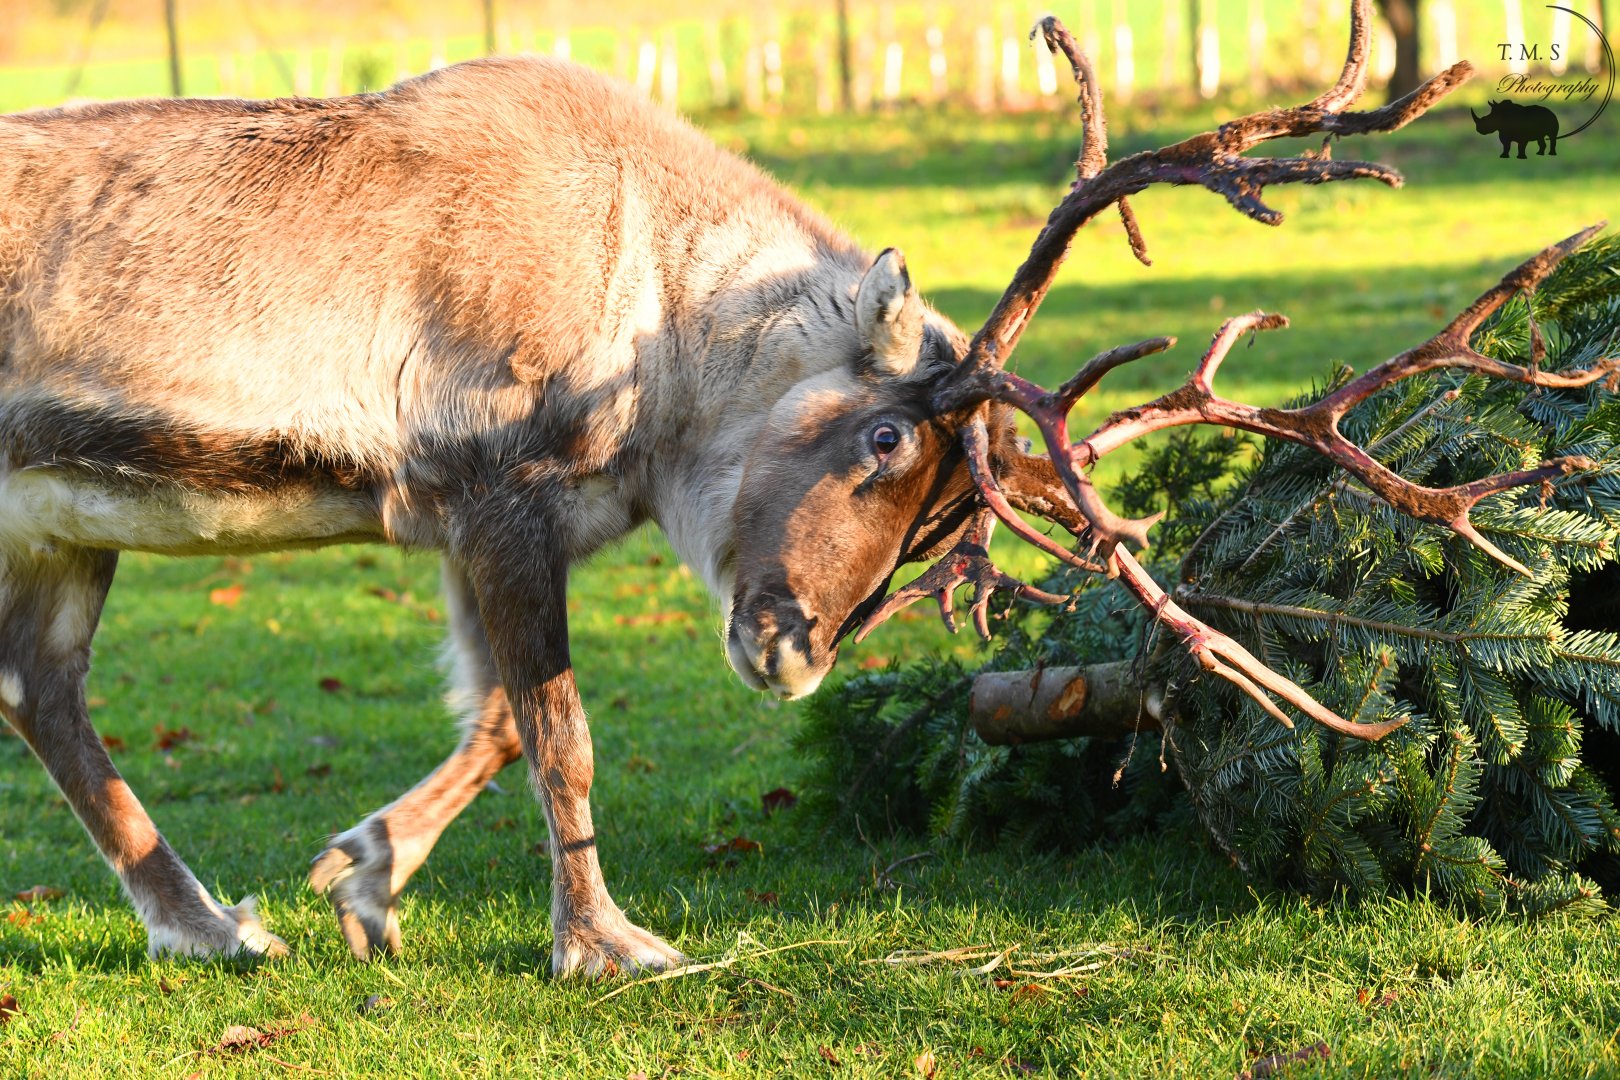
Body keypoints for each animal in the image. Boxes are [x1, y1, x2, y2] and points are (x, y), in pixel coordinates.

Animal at [0, 0, 1611, 974]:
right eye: (886, 443)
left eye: (947, 517)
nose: (793, 653)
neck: (658, 321)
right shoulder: (498, 490)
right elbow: (562, 732)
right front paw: (608, 947)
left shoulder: (478, 526)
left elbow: (499, 723)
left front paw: (366, 878)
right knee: (47, 693)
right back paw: (209, 924)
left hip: (63, 525)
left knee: (44, 692)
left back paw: (211, 927)